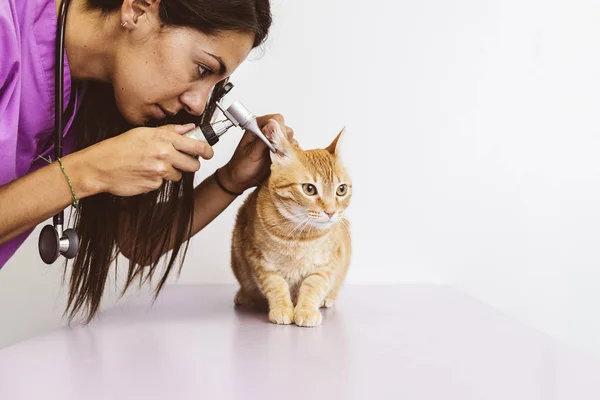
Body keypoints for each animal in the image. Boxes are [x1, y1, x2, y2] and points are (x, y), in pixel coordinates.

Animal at [230, 120, 352, 326]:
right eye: (309, 189)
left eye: (341, 190)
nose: (331, 212)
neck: (299, 235)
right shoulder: (259, 260)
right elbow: (276, 285)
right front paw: (282, 309)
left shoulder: (327, 264)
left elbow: (313, 285)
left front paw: (306, 309)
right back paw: (244, 296)